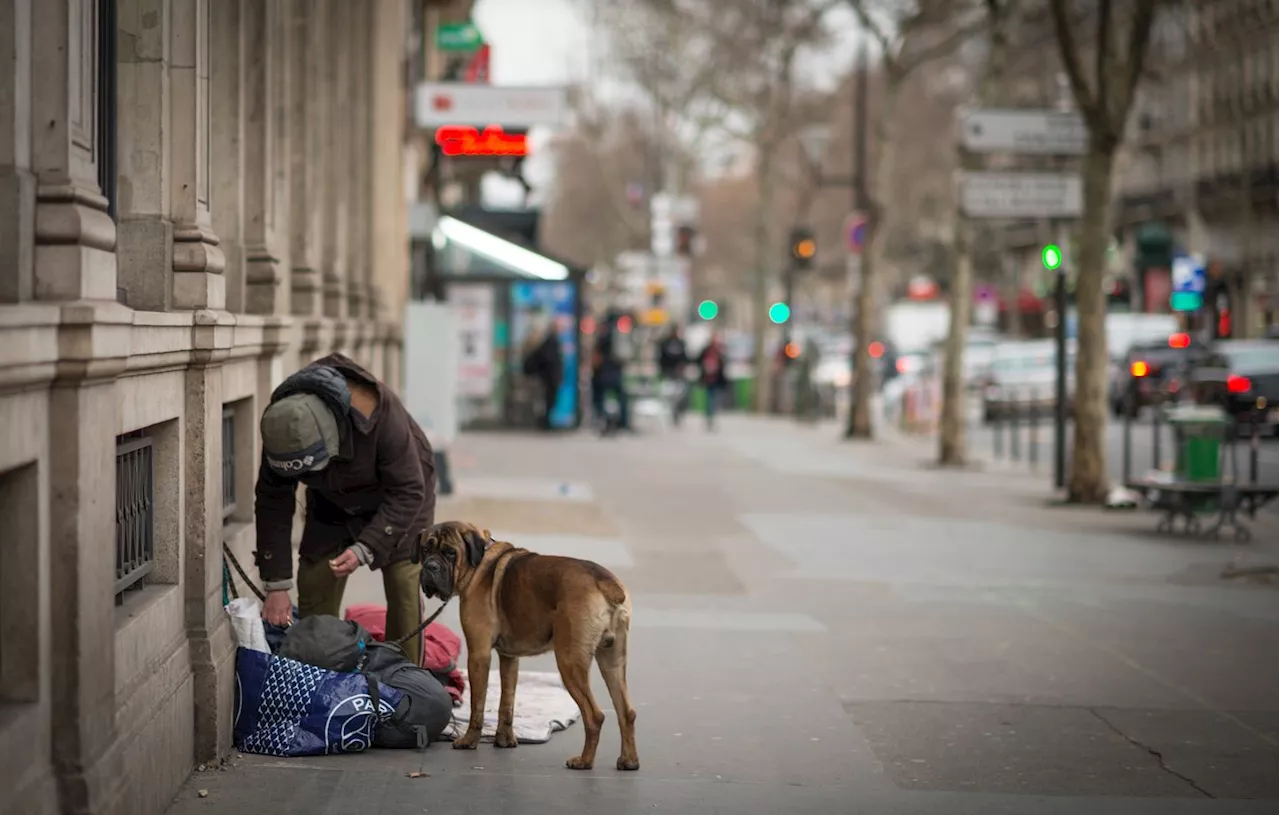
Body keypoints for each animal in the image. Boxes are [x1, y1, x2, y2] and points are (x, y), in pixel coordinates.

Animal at [417, 522, 640, 767]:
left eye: (449, 552)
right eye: (425, 550)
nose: (430, 566)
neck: (478, 565)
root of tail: (605, 582)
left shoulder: (479, 655)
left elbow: (478, 704)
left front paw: (469, 740)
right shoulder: (509, 658)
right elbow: (507, 702)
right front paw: (505, 740)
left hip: (570, 662)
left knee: (594, 715)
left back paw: (584, 761)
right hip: (612, 662)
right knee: (626, 712)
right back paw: (628, 761)